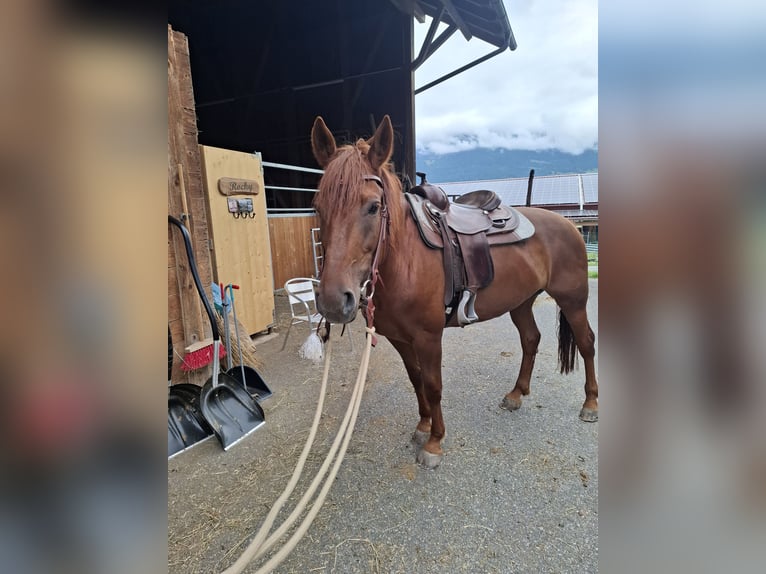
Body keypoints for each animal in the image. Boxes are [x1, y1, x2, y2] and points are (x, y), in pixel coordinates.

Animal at [312, 115, 600, 470]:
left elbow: (433, 385)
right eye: (318, 206)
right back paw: (516, 394)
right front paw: (423, 426)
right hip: (521, 301)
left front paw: (435, 442)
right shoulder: (399, 338)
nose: (333, 301)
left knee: (586, 343)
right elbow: (416, 379)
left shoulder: (428, 336)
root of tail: (570, 225)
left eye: (373, 206)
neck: (406, 260)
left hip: (573, 300)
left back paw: (590, 404)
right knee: (531, 340)